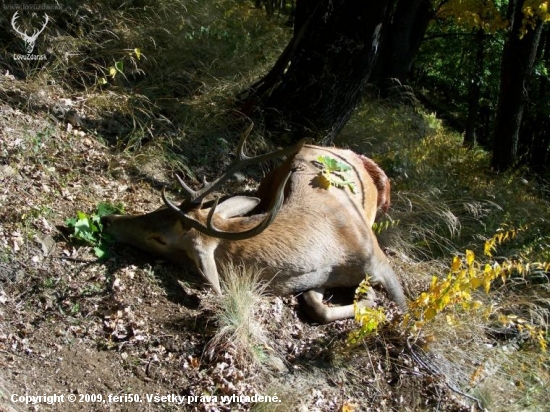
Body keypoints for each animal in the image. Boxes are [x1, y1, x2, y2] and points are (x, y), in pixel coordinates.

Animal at [101, 125, 408, 322]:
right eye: (155, 209)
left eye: (159, 239)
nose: (107, 219)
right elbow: (315, 303)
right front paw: (365, 300)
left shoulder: (378, 259)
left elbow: (403, 308)